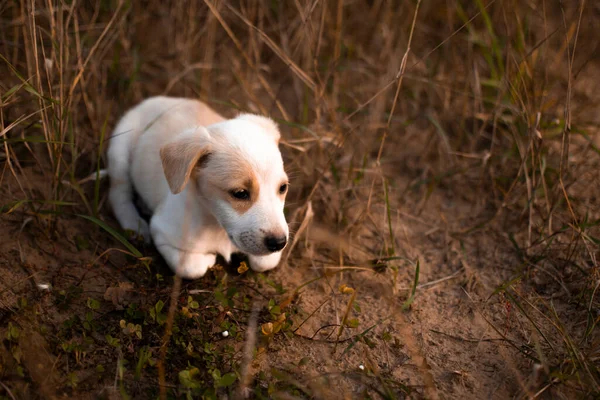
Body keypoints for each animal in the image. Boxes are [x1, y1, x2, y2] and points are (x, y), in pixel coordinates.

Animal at [106, 96, 290, 278]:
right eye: (240, 193)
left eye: (283, 188)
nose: (279, 243)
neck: (216, 226)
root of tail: (163, 99)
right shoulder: (162, 231)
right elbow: (191, 267)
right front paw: (209, 258)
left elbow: (265, 262)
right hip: (119, 148)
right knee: (118, 194)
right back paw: (134, 224)